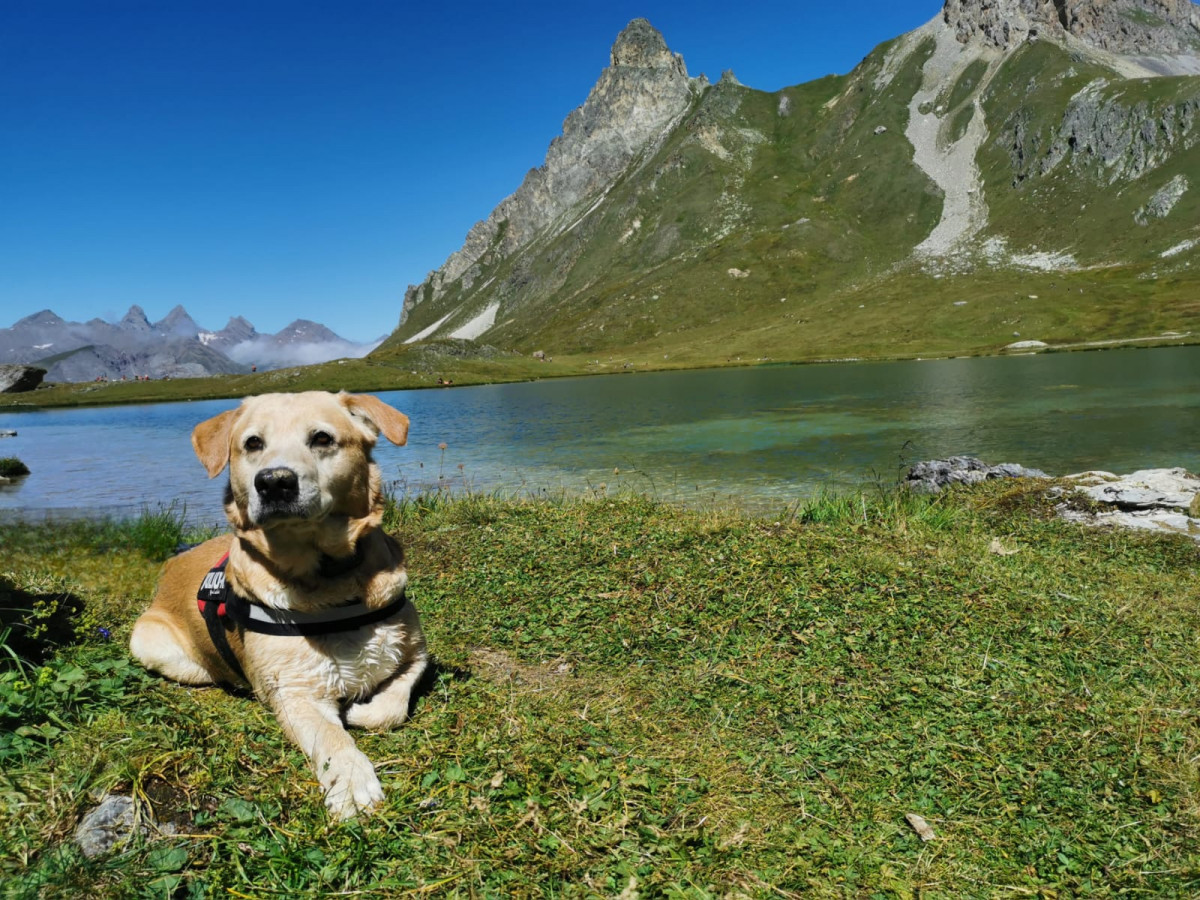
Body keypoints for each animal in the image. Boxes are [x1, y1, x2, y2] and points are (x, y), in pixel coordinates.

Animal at [130, 391, 427, 820]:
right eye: (253, 443)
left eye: (322, 438)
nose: (274, 482)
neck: (329, 578)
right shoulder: (294, 694)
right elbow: (332, 737)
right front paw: (353, 783)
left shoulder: (417, 654)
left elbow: (394, 703)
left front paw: (361, 712)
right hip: (156, 647)